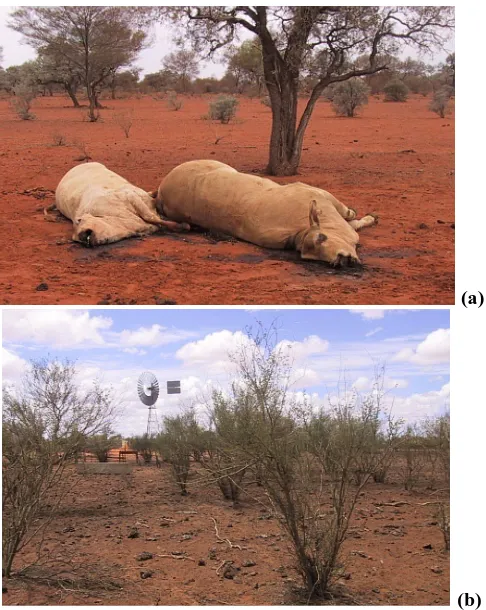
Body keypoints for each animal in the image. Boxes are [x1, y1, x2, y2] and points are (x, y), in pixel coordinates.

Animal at [54, 164, 189, 247]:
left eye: (79, 221)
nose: (82, 238)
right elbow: (153, 219)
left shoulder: (130, 196)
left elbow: (151, 217)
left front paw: (182, 225)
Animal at [155, 159, 376, 266]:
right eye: (311, 257)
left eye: (322, 237)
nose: (340, 261)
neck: (301, 227)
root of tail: (162, 188)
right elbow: (352, 220)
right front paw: (368, 218)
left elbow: (350, 216)